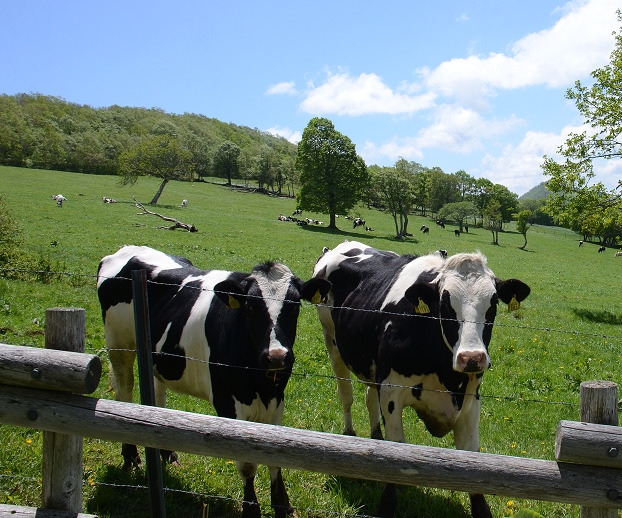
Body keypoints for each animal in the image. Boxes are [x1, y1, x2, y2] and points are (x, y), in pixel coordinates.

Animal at [96, 248, 332, 518]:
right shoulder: (227, 403)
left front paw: (283, 506)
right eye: (251, 306)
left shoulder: (277, 399)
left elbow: (277, 455)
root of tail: (128, 249)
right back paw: (130, 457)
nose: (277, 356)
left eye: (294, 306)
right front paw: (251, 510)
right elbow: (247, 465)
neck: (259, 383)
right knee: (124, 390)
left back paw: (167, 454)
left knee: (158, 396)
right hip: (118, 344)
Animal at [312, 243, 532, 518]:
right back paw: (349, 434)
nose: (472, 358)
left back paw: (376, 437)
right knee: (346, 395)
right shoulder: (391, 391)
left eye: (492, 304)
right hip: (332, 343)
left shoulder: (471, 400)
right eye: (445, 304)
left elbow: (472, 456)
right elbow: (397, 451)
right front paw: (387, 503)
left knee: (369, 397)